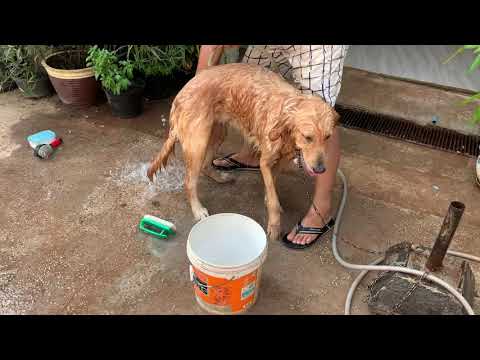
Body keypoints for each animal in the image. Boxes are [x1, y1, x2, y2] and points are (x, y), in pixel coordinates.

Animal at [148, 63, 340, 240]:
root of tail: (181, 93)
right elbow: (272, 196)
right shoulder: (265, 162)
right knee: (189, 182)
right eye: (308, 137)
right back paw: (198, 210)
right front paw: (274, 224)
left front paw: (269, 200)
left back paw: (219, 177)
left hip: (218, 132)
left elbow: (272, 187)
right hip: (198, 143)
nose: (321, 170)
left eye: (328, 137)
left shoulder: (281, 160)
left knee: (205, 166)